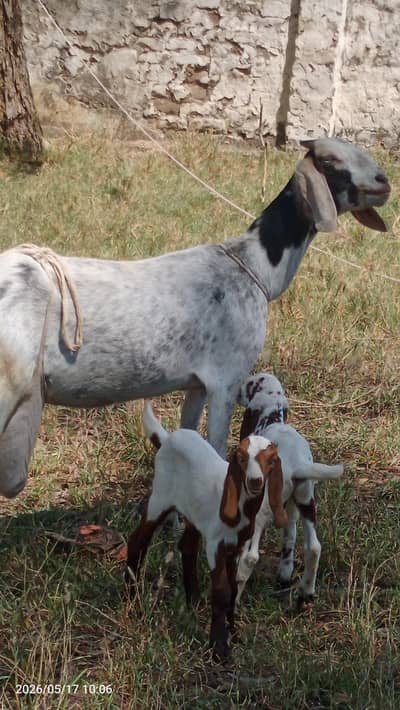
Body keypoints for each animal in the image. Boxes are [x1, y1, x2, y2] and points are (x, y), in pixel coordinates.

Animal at [0, 138, 389, 498]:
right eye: (331, 161)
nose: (383, 181)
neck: (253, 266)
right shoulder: (225, 382)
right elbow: (217, 447)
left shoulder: (197, 384)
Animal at [125, 401, 288, 659]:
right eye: (241, 458)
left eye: (271, 460)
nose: (255, 481)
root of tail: (167, 438)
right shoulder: (215, 546)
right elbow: (221, 591)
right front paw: (219, 647)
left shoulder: (235, 547)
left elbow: (233, 588)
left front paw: (233, 632)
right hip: (160, 498)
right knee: (138, 540)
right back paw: (133, 600)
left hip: (193, 513)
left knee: (188, 547)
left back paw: (193, 599)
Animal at [236, 373, 343, 607]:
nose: (236, 391)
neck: (273, 419)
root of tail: (296, 465)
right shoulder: (290, 508)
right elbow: (289, 537)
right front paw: (285, 573)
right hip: (306, 501)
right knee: (313, 547)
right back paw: (306, 592)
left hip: (259, 513)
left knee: (250, 557)